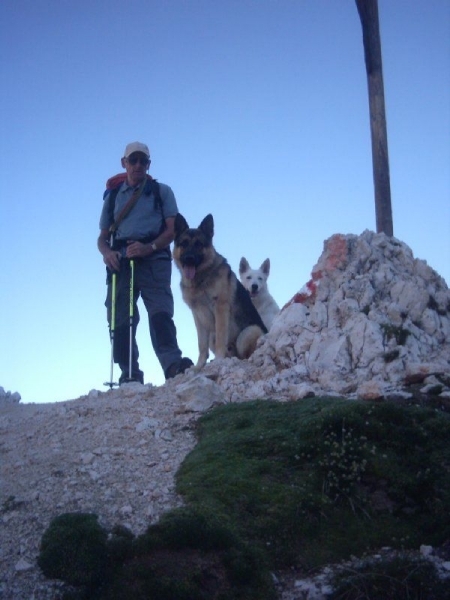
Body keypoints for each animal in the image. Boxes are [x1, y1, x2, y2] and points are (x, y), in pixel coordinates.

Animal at [173, 213, 268, 368]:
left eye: (199, 244)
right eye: (184, 244)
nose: (189, 259)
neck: (201, 280)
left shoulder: (220, 308)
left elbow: (221, 338)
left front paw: (218, 360)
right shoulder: (198, 316)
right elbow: (201, 344)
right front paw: (199, 366)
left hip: (249, 332)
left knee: (245, 355)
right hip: (214, 335)